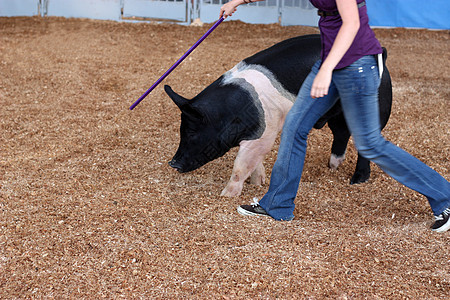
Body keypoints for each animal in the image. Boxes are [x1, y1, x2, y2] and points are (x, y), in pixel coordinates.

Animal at [163, 34, 392, 197]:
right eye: (181, 130)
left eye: (192, 132)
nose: (173, 163)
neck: (231, 112)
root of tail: (381, 53)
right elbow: (255, 162)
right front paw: (259, 183)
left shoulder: (265, 131)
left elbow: (241, 165)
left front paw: (225, 196)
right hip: (337, 115)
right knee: (341, 133)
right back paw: (332, 166)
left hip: (376, 107)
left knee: (366, 143)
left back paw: (357, 180)